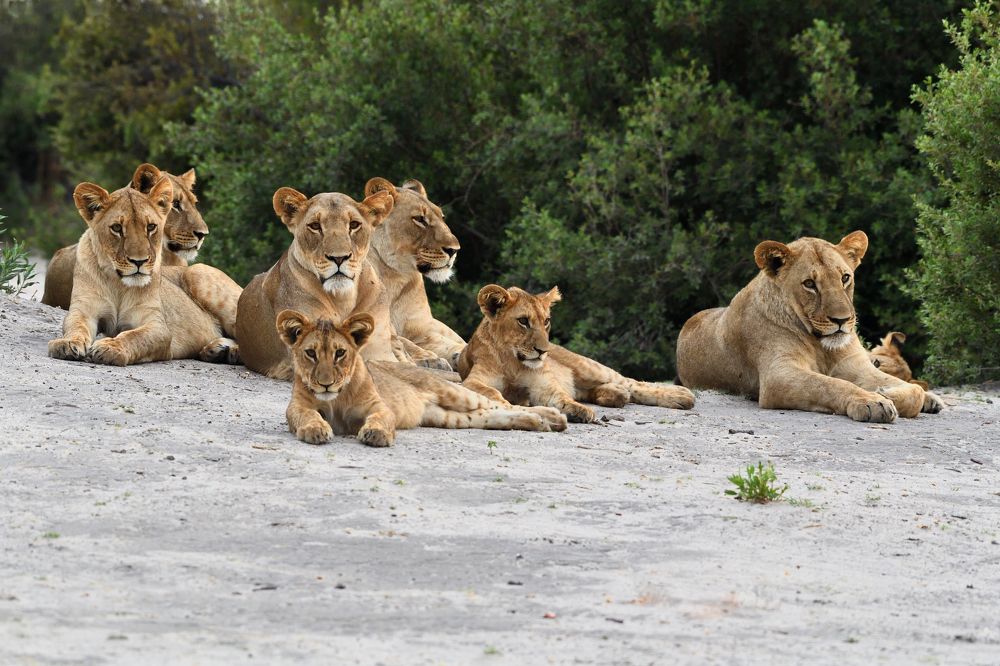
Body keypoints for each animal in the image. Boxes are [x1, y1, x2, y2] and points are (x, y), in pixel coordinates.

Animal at [48, 174, 242, 366]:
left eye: (151, 227)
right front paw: (67, 343)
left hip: (199, 273)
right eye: (117, 228)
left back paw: (229, 352)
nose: (139, 261)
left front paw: (110, 347)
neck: (118, 283)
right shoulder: (84, 310)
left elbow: (135, 337)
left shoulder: (157, 325)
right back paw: (216, 351)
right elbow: (76, 326)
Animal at [276, 310, 567, 446]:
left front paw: (376, 434)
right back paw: (538, 422)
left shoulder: (379, 406)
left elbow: (381, 419)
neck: (335, 399)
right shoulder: (298, 408)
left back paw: (553, 417)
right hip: (447, 417)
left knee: (501, 404)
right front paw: (315, 430)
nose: (325, 384)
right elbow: (307, 416)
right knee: (493, 415)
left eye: (340, 353)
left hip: (453, 393)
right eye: (310, 353)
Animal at [363, 177, 467, 368]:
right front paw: (431, 359)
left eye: (442, 217)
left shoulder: (422, 327)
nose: (454, 250)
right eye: (419, 219)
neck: (394, 276)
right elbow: (402, 341)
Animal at [457, 284, 695, 423]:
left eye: (546, 321)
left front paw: (577, 411)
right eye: (523, 321)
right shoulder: (473, 380)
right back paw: (615, 394)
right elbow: (492, 392)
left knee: (632, 382)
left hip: (588, 367)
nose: (544, 351)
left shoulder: (543, 385)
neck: (513, 361)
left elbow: (560, 397)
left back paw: (680, 396)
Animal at [675, 231, 944, 421]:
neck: (822, 345)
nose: (841, 320)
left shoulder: (857, 365)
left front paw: (888, 393)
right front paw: (873, 401)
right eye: (809, 284)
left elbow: (913, 391)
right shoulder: (778, 375)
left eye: (845, 277)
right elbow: (830, 384)